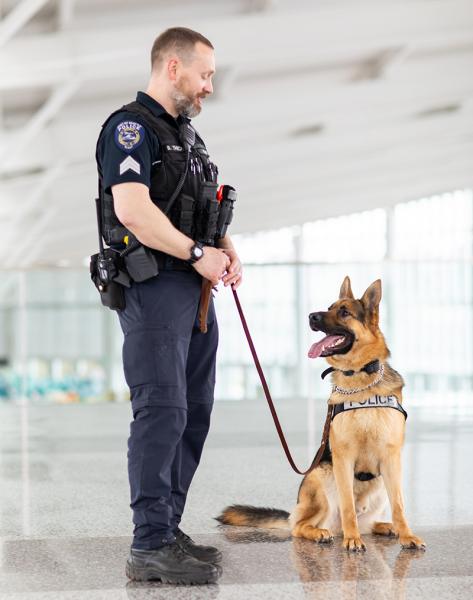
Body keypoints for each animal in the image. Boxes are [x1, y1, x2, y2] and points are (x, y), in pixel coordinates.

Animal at [218, 276, 424, 552]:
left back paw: (384, 527)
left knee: (369, 522)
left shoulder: (391, 458)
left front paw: (407, 535)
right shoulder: (343, 459)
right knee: (300, 526)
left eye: (344, 312)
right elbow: (347, 505)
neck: (360, 379)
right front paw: (352, 540)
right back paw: (322, 533)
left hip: (380, 484)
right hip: (319, 479)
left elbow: (399, 505)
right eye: (329, 307)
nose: (311, 316)